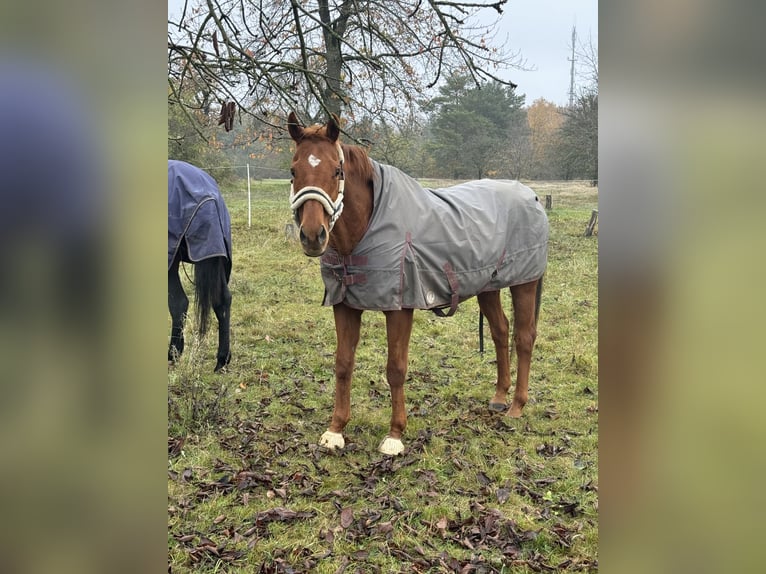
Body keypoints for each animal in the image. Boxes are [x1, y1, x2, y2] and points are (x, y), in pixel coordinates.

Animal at [286, 111, 544, 454]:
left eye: (337, 170)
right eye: (293, 171)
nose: (313, 236)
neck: (364, 230)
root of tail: (531, 195)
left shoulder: (399, 309)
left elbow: (395, 369)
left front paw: (395, 435)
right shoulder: (345, 305)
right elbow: (343, 364)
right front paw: (336, 430)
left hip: (525, 283)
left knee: (523, 338)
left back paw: (516, 406)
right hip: (488, 285)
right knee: (500, 331)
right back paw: (499, 397)